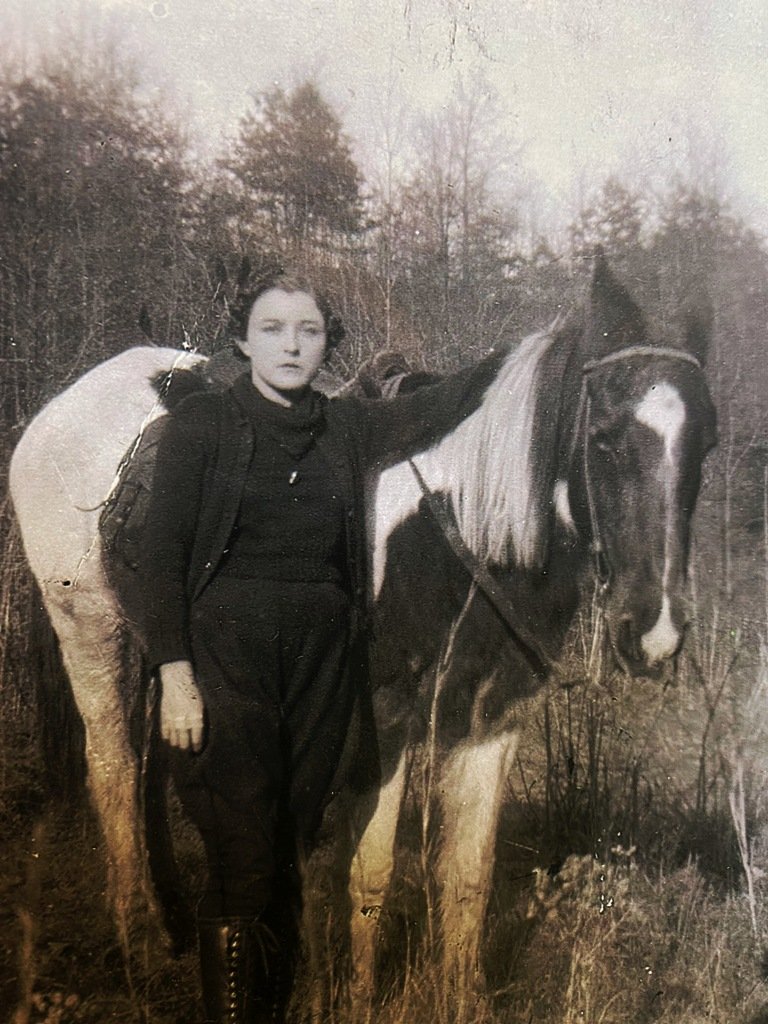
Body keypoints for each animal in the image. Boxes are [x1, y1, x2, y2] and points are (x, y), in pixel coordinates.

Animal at [7, 262, 716, 1007]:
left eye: (708, 444)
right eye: (605, 437)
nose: (655, 633)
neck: (462, 527)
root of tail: (60, 409)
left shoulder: (494, 714)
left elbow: (469, 873)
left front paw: (460, 998)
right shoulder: (387, 709)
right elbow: (370, 872)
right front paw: (353, 997)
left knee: (151, 770)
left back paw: (172, 924)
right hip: (92, 630)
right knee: (114, 768)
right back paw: (139, 941)